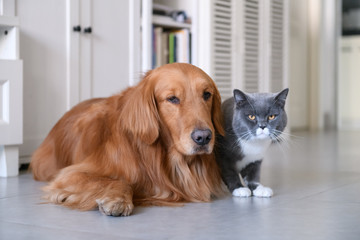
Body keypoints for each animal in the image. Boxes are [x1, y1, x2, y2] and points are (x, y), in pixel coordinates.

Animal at [32, 62, 226, 217]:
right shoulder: (70, 174)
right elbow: (120, 181)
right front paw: (118, 200)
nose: (203, 137)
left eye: (206, 95)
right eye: (172, 99)